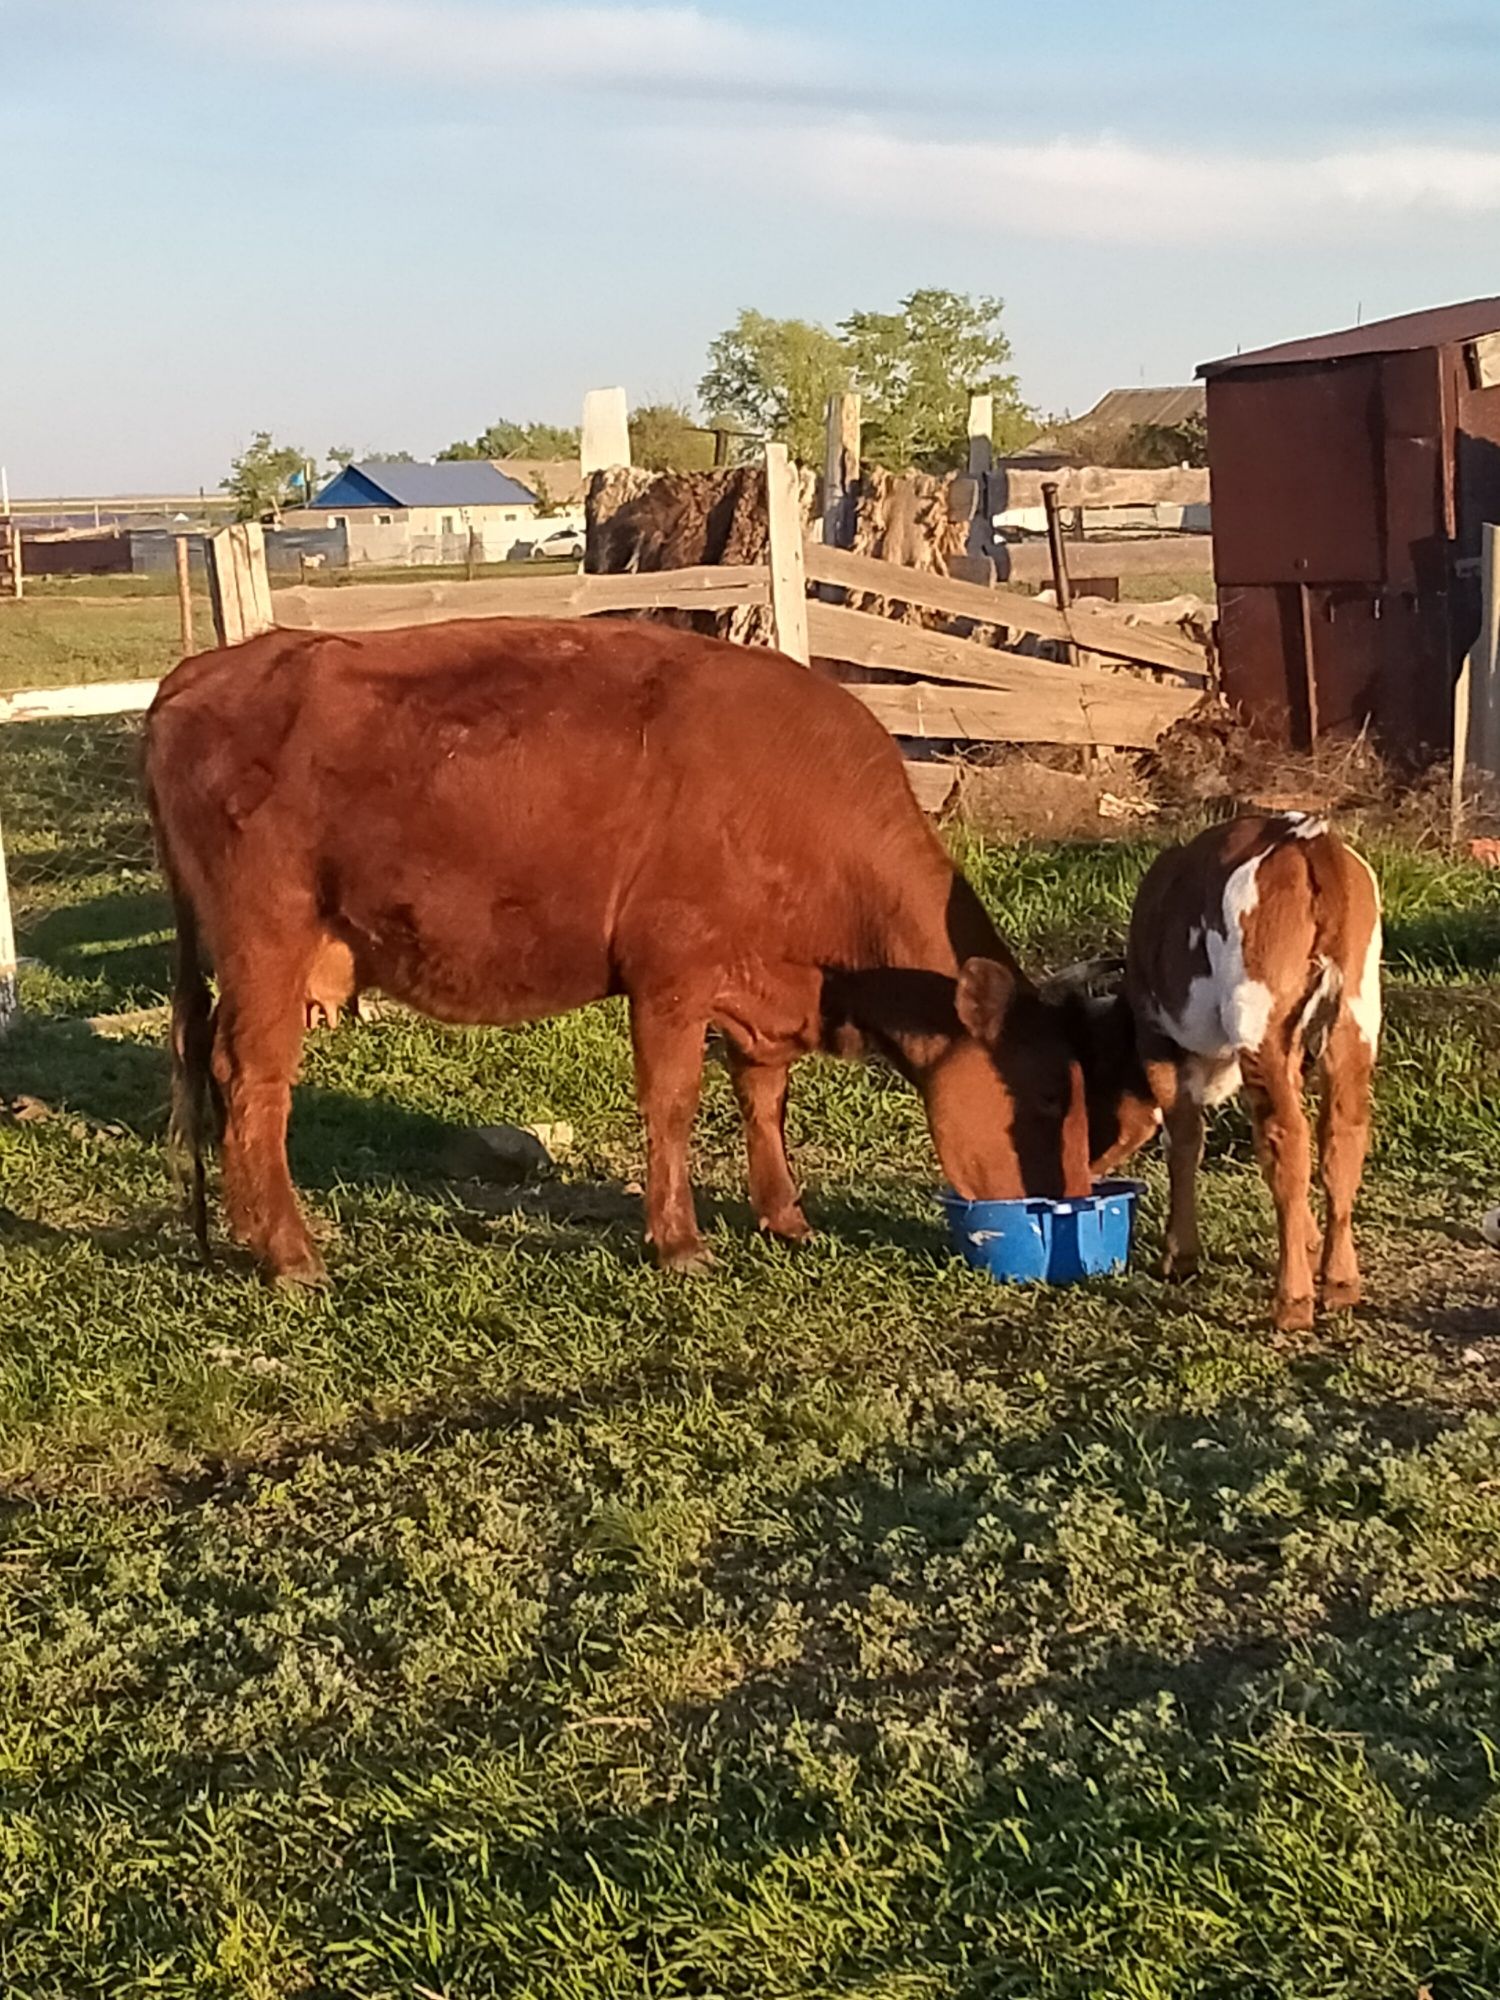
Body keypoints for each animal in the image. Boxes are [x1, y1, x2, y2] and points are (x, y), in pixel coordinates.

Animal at [147, 616, 1096, 1288]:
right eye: (1051, 1092)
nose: (1078, 1202)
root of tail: (206, 669)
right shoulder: (670, 975)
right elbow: (672, 1105)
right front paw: (679, 1242)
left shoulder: (760, 994)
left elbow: (764, 1099)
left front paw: (785, 1217)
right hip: (267, 939)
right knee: (256, 1080)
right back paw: (289, 1253)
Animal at [1072, 804, 1384, 1336]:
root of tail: (1306, 835)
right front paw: (1307, 1238)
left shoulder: (1159, 1039)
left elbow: (1183, 1141)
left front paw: (1180, 1256)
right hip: (1355, 1019)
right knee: (1340, 1136)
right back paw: (1340, 1282)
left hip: (1259, 1020)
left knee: (1287, 1141)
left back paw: (1292, 1300)